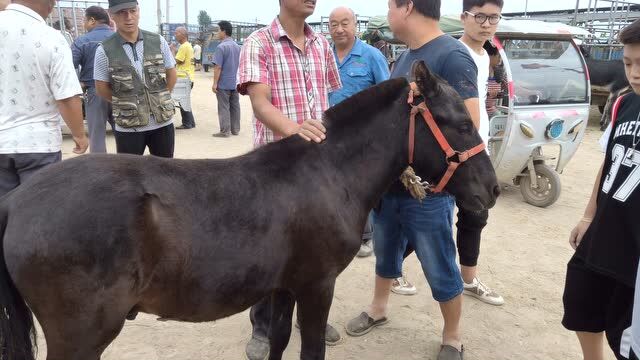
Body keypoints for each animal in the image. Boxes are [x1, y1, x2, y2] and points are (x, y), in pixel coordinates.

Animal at [0, 62, 500, 360]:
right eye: (461, 123)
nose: (492, 190)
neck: (327, 174)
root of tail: (17, 201)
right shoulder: (316, 285)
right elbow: (311, 348)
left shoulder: (283, 286)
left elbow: (278, 340)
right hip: (81, 335)